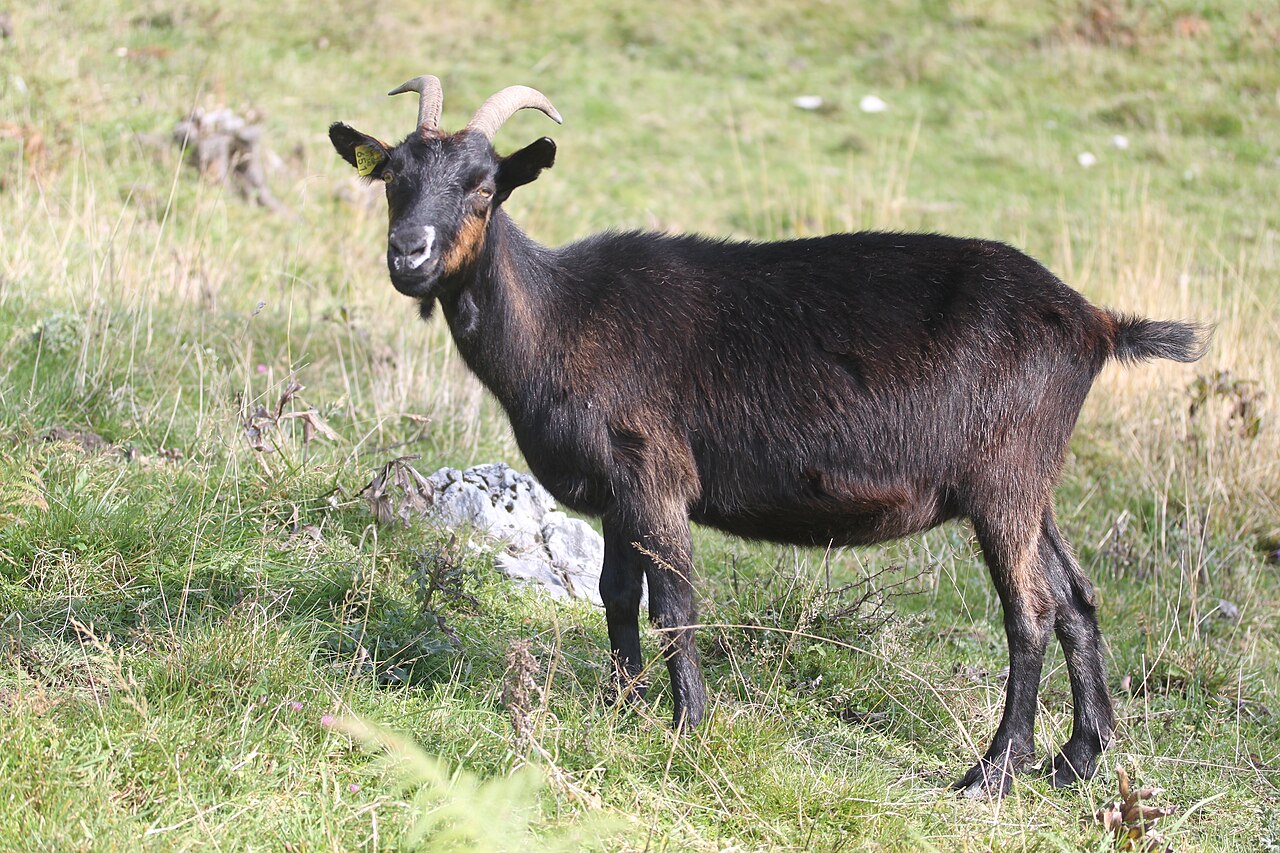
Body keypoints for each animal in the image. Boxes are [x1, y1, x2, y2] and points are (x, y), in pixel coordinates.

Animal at [330, 76, 1208, 798]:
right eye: (393, 180)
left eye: (484, 188)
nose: (409, 254)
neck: (559, 314)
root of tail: (1096, 322)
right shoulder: (617, 491)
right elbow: (615, 593)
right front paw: (621, 707)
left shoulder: (655, 474)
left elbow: (674, 601)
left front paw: (687, 725)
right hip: (1031, 483)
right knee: (1077, 597)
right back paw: (1077, 759)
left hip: (1004, 479)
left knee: (1030, 608)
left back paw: (992, 772)